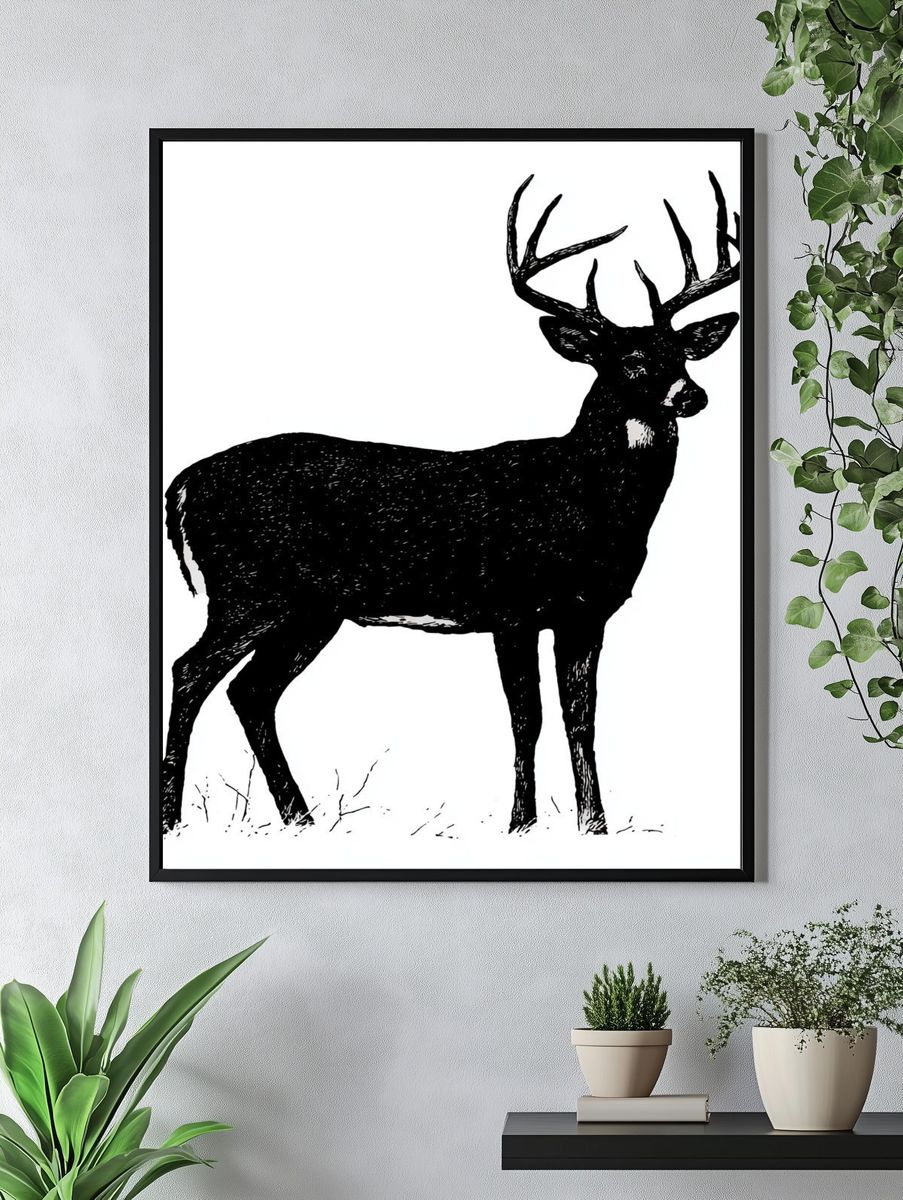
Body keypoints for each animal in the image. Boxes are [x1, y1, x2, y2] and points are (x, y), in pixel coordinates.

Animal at [162, 168, 740, 837]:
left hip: (310, 609)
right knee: (191, 672)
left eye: (681, 354)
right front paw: (521, 826)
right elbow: (527, 717)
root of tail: (183, 483)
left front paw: (593, 827)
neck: (585, 502)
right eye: (630, 360)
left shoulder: (586, 613)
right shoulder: (512, 606)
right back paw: (176, 822)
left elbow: (582, 718)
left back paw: (301, 821)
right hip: (248, 589)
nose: (692, 395)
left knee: (250, 692)